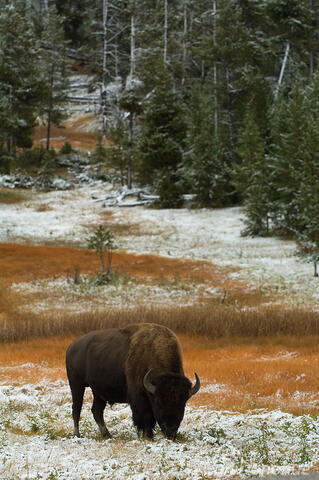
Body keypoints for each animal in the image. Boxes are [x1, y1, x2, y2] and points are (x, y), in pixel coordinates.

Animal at [65, 322, 200, 438]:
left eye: (183, 402)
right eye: (159, 402)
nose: (171, 431)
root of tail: (71, 347)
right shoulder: (139, 398)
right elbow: (146, 417)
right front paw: (147, 435)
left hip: (98, 392)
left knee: (97, 411)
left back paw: (107, 434)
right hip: (76, 385)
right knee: (76, 408)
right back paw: (77, 434)